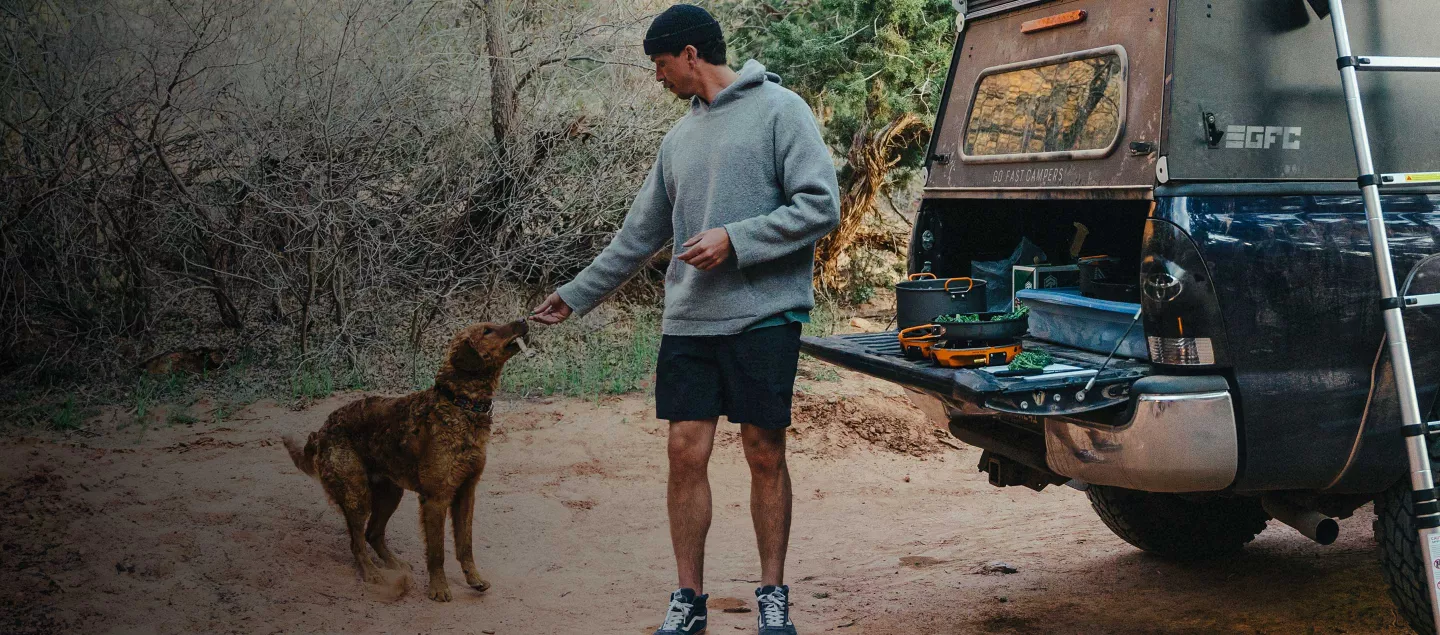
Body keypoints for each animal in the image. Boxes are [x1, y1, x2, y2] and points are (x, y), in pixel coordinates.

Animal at [283, 319, 527, 601]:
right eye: (487, 331)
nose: (524, 320)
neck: (460, 405)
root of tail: (321, 431)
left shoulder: (467, 491)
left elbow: (465, 545)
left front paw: (474, 579)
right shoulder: (436, 498)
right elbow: (437, 552)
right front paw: (439, 588)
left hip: (390, 492)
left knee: (373, 533)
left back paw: (395, 564)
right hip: (357, 495)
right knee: (357, 542)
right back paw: (372, 574)